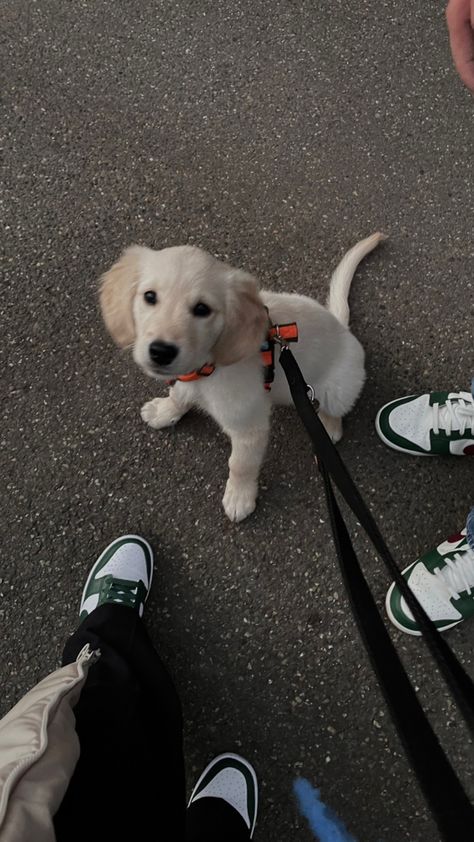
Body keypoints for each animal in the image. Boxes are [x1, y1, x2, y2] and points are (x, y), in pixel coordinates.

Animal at [99, 230, 386, 520]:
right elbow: (178, 395)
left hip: (338, 389)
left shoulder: (250, 426)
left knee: (336, 411)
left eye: (202, 309)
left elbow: (240, 464)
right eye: (149, 296)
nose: (161, 351)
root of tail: (342, 327)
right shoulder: (187, 381)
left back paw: (327, 427)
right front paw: (165, 411)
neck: (207, 368)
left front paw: (239, 497)